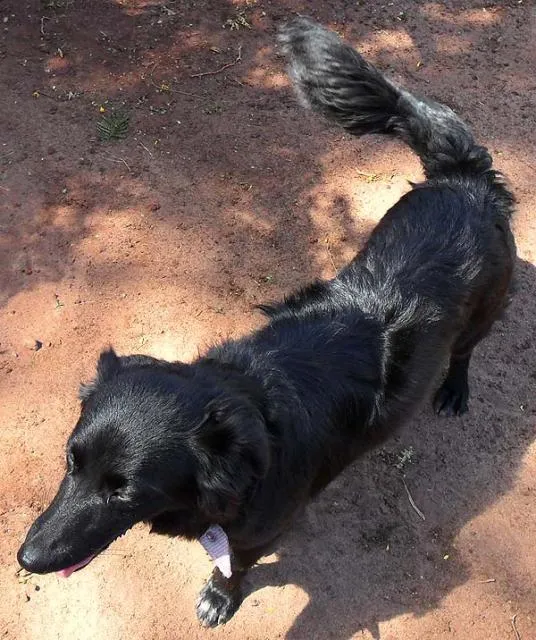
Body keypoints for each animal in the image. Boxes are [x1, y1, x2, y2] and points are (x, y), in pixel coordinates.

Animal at [17, 18, 515, 628]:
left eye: (123, 493)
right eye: (70, 460)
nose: (26, 558)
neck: (253, 416)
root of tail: (466, 181)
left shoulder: (259, 530)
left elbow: (237, 568)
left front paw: (220, 596)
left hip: (486, 310)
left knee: (466, 349)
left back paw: (454, 389)